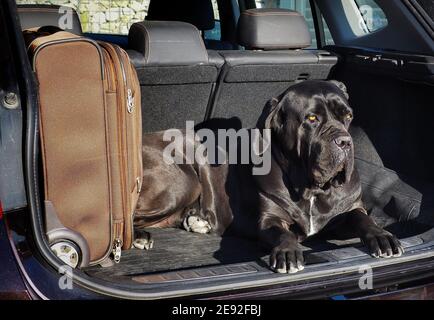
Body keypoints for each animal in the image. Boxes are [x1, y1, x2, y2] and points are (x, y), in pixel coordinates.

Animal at [133, 79, 404, 272]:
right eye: (312, 118)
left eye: (347, 116)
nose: (345, 142)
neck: (311, 189)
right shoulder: (268, 220)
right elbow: (282, 232)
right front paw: (288, 252)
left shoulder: (349, 209)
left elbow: (363, 218)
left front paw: (383, 236)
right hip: (184, 181)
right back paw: (140, 236)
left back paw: (196, 220)